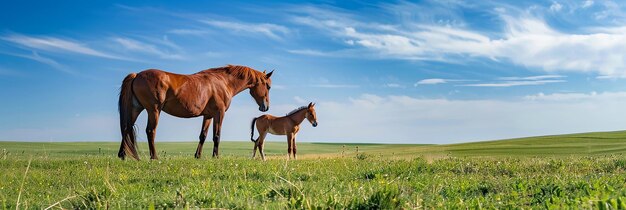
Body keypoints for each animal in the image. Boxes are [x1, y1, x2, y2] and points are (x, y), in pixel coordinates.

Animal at [118, 65, 272, 160]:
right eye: (268, 86)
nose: (266, 107)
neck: (223, 82)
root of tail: (137, 75)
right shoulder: (219, 113)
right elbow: (217, 136)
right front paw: (215, 157)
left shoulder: (208, 116)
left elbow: (202, 136)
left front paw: (197, 156)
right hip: (154, 110)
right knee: (150, 131)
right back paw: (154, 157)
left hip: (136, 109)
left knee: (126, 128)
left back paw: (123, 155)